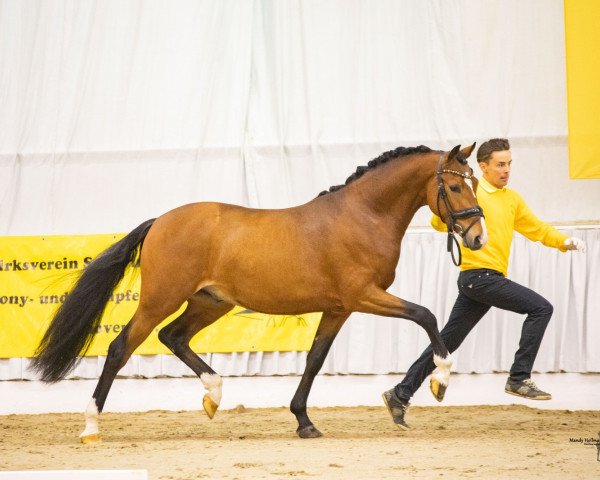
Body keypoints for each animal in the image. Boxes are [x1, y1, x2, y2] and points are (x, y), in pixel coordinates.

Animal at [30, 142, 486, 442]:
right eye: (455, 187)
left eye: (475, 183)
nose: (477, 237)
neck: (363, 216)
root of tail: (160, 220)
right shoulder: (363, 296)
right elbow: (426, 315)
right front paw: (441, 381)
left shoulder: (339, 308)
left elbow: (315, 359)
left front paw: (304, 422)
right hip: (160, 299)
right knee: (120, 347)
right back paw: (91, 426)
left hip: (210, 302)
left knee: (172, 336)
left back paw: (214, 395)